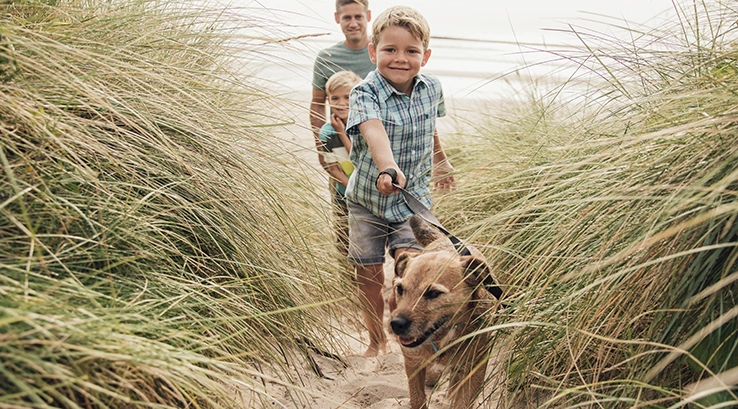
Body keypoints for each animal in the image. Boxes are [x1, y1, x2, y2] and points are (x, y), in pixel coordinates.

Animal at [388, 215, 498, 406]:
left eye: (433, 293)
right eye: (400, 289)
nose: (396, 324)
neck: (442, 337)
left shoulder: (473, 371)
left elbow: (462, 402)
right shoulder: (413, 364)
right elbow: (418, 399)